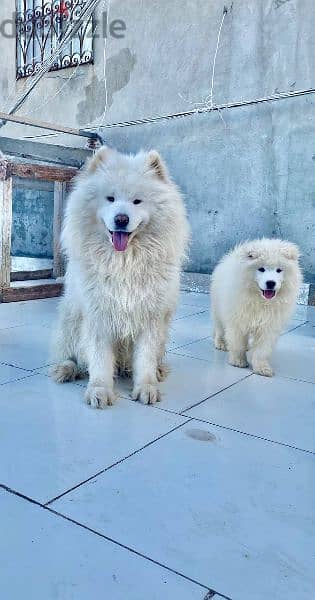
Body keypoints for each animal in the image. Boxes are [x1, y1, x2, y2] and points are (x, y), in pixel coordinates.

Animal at [51, 146, 190, 408]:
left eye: (137, 201)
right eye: (110, 199)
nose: (121, 219)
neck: (124, 262)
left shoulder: (151, 317)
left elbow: (145, 358)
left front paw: (146, 387)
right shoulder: (98, 315)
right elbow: (99, 360)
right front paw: (100, 391)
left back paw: (156, 371)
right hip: (69, 319)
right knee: (70, 355)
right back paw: (65, 369)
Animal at [211, 238, 302, 376]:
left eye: (279, 270)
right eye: (261, 269)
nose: (270, 283)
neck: (260, 301)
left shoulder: (269, 325)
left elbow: (262, 349)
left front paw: (262, 368)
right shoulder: (237, 319)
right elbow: (237, 342)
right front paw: (238, 361)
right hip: (219, 309)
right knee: (220, 329)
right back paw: (221, 343)